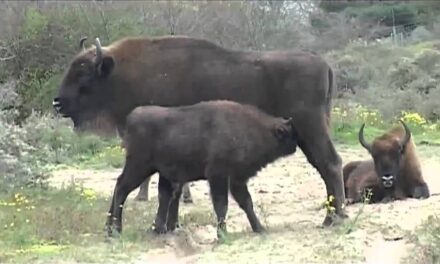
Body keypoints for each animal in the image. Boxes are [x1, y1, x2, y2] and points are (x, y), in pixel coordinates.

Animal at [105, 99, 300, 235]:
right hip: (139, 168)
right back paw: (116, 230)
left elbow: (246, 203)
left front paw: (259, 228)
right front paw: (222, 234)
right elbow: (222, 205)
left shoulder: (237, 180)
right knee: (121, 189)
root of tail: (132, 117)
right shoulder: (218, 176)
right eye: (288, 134)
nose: (296, 145)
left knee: (125, 188)